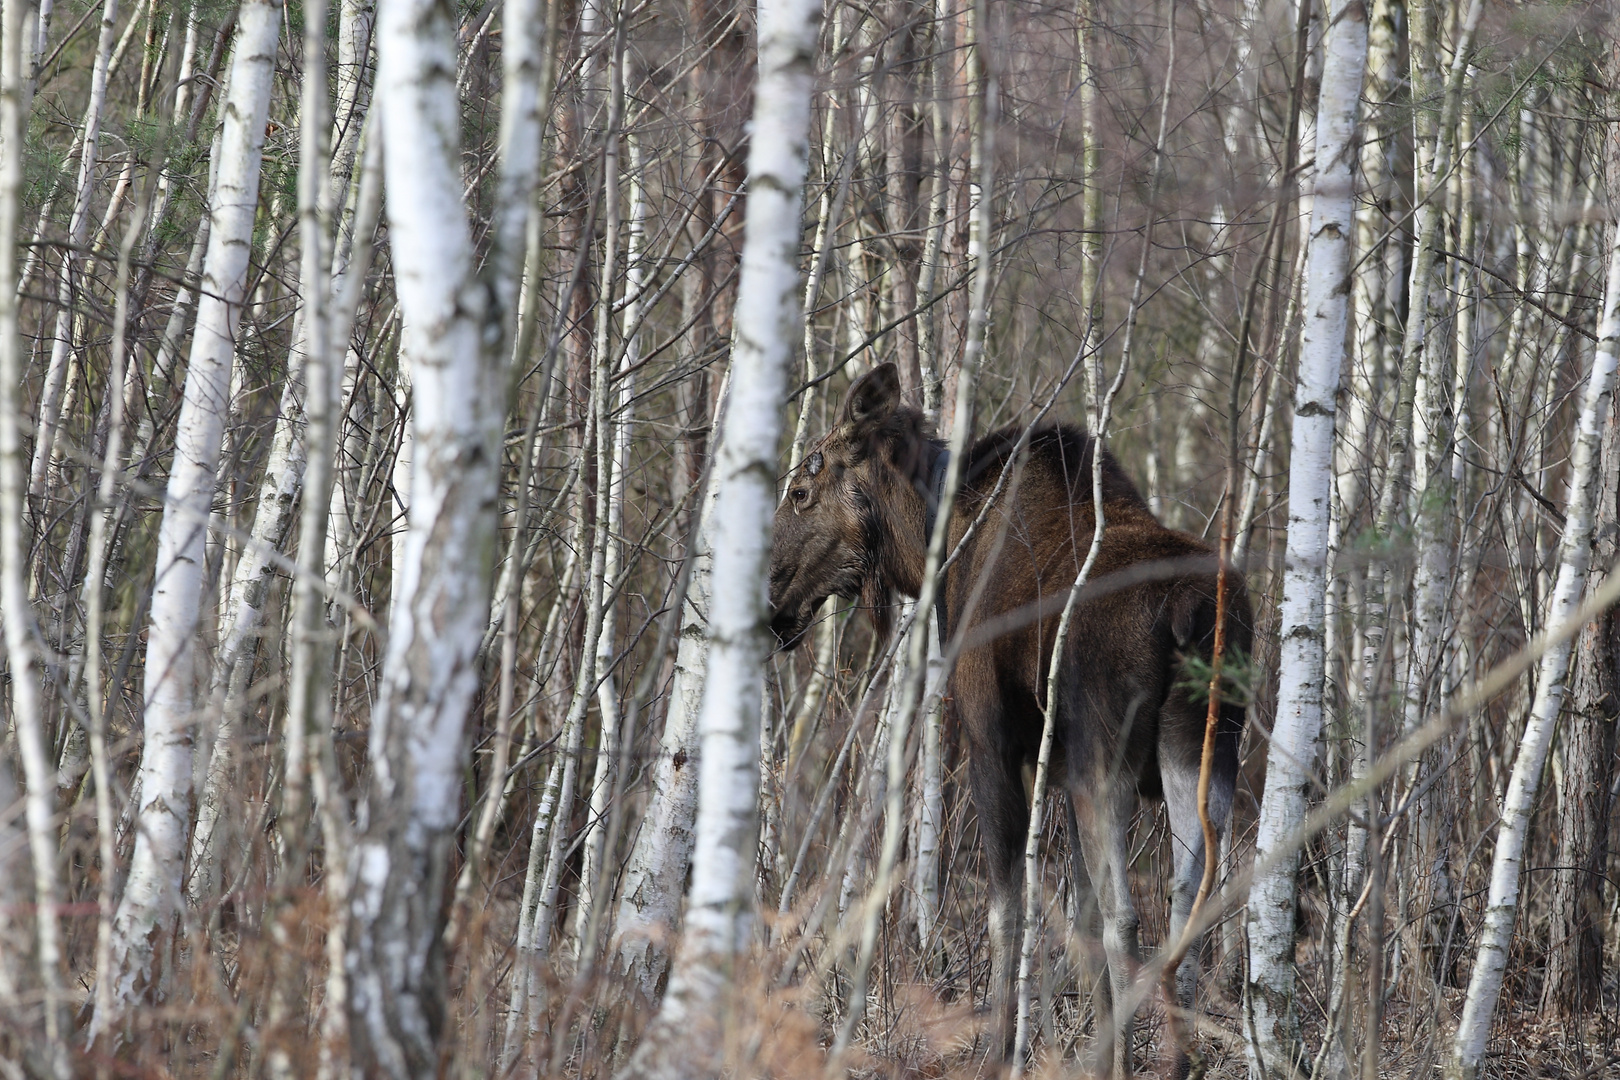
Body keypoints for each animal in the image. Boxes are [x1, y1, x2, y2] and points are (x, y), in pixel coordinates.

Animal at [771, 367, 1250, 1075]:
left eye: (802, 491)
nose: (770, 602)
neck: (931, 540)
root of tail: (1191, 614)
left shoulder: (992, 741)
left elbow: (1009, 912)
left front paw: (1000, 1051)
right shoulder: (1061, 764)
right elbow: (1076, 915)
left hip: (1106, 757)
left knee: (1127, 915)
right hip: (1201, 750)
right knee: (1188, 898)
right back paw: (1175, 1057)